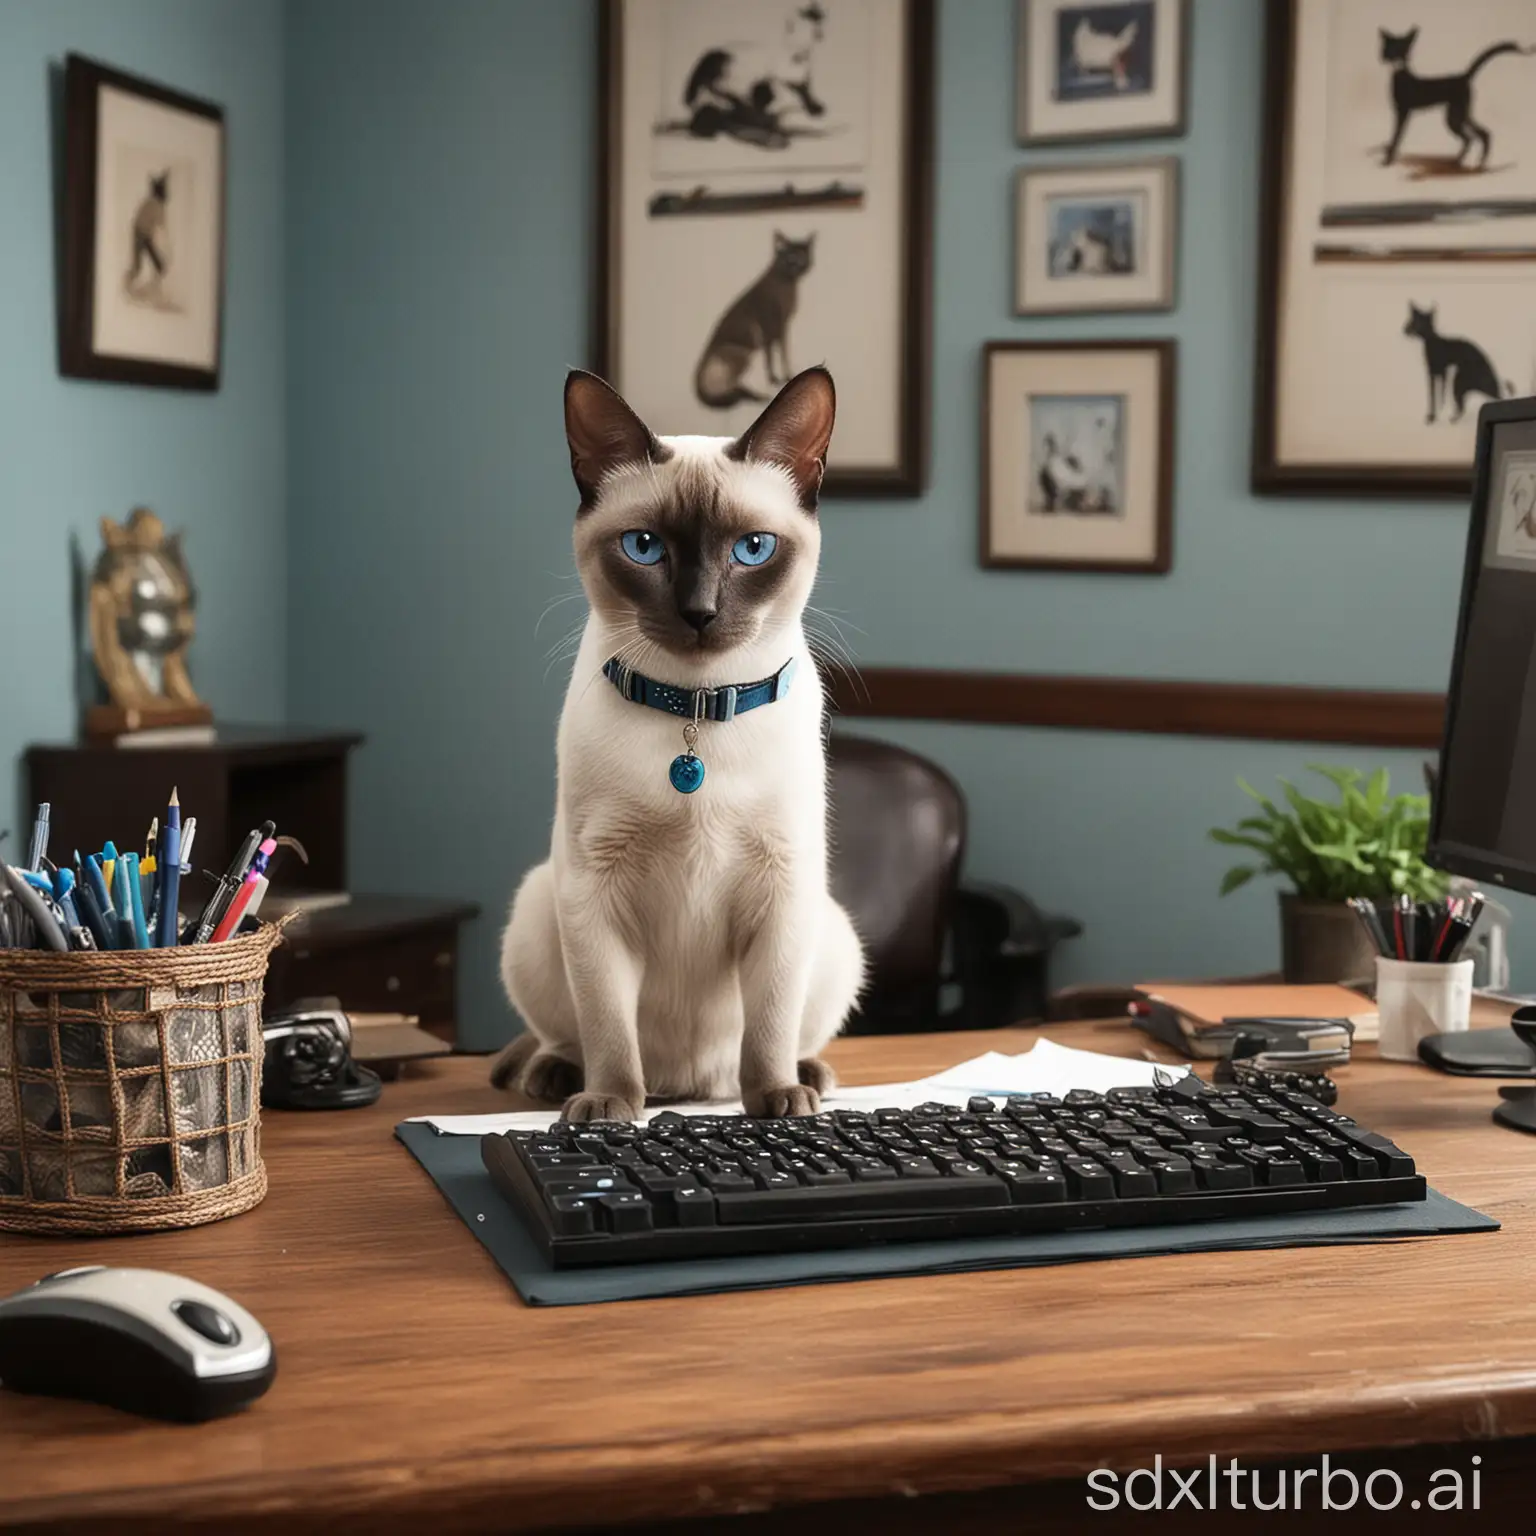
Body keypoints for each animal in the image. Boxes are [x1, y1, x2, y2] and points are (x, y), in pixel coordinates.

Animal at [491, 365, 866, 1124]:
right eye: (643, 547)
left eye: (753, 549)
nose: (700, 613)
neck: (697, 708)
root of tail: (690, 1089)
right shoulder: (595, 890)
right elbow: (608, 1025)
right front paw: (609, 1106)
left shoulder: (782, 885)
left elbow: (770, 1024)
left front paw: (776, 1100)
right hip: (539, 906)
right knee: (566, 1036)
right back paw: (561, 1079)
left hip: (832, 927)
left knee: (783, 1039)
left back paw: (808, 1079)